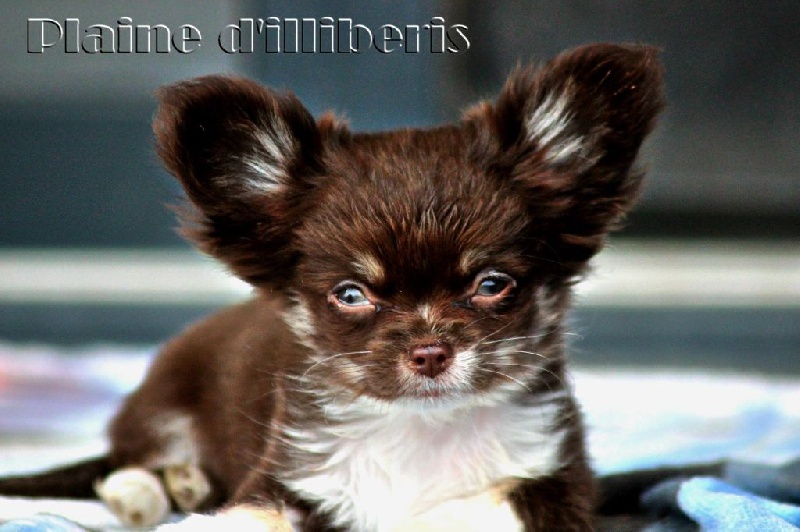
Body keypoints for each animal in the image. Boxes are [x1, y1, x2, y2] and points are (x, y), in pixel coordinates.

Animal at [0, 43, 664, 531]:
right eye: (350, 295)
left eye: (492, 284)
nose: (429, 352)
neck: (419, 432)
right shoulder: (290, 478)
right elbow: (248, 516)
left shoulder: (553, 482)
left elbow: (473, 507)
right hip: (162, 405)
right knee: (127, 462)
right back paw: (151, 490)